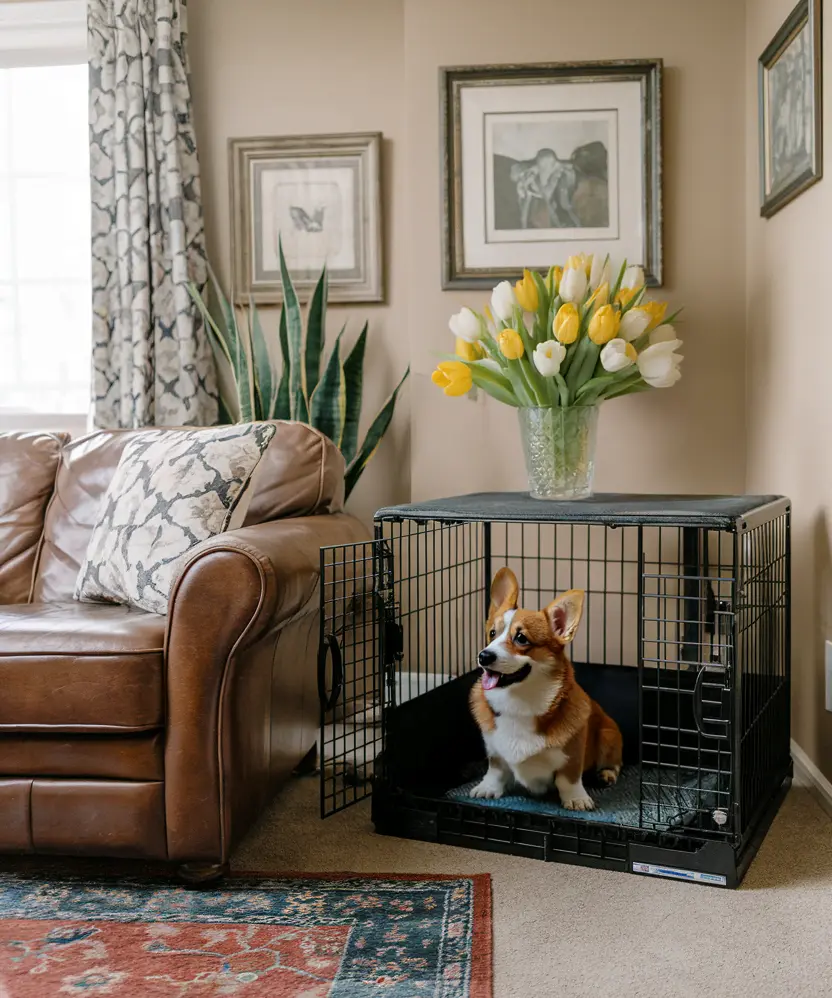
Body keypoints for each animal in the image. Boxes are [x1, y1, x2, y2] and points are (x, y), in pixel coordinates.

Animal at [472, 572, 620, 812]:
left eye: (521, 638)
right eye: (492, 633)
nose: (483, 656)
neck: (519, 701)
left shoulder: (573, 755)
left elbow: (568, 779)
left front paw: (577, 799)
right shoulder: (494, 751)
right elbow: (496, 770)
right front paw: (487, 788)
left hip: (609, 735)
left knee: (614, 762)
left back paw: (606, 774)